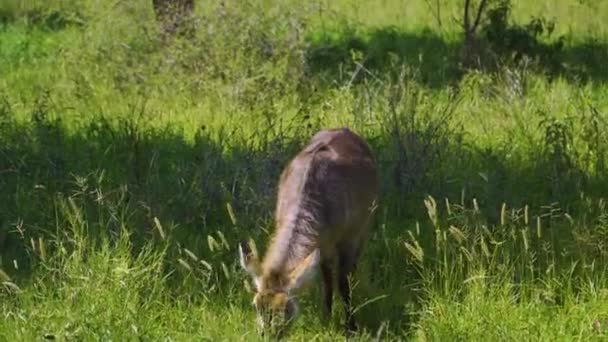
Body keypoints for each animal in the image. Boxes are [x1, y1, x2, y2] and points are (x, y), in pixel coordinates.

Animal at [239, 127, 378, 336]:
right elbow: (327, 281)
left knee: (351, 270)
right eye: (256, 305)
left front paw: (351, 328)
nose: (268, 335)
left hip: (364, 226)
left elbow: (343, 282)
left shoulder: (349, 237)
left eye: (285, 308)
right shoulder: (322, 244)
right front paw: (326, 319)